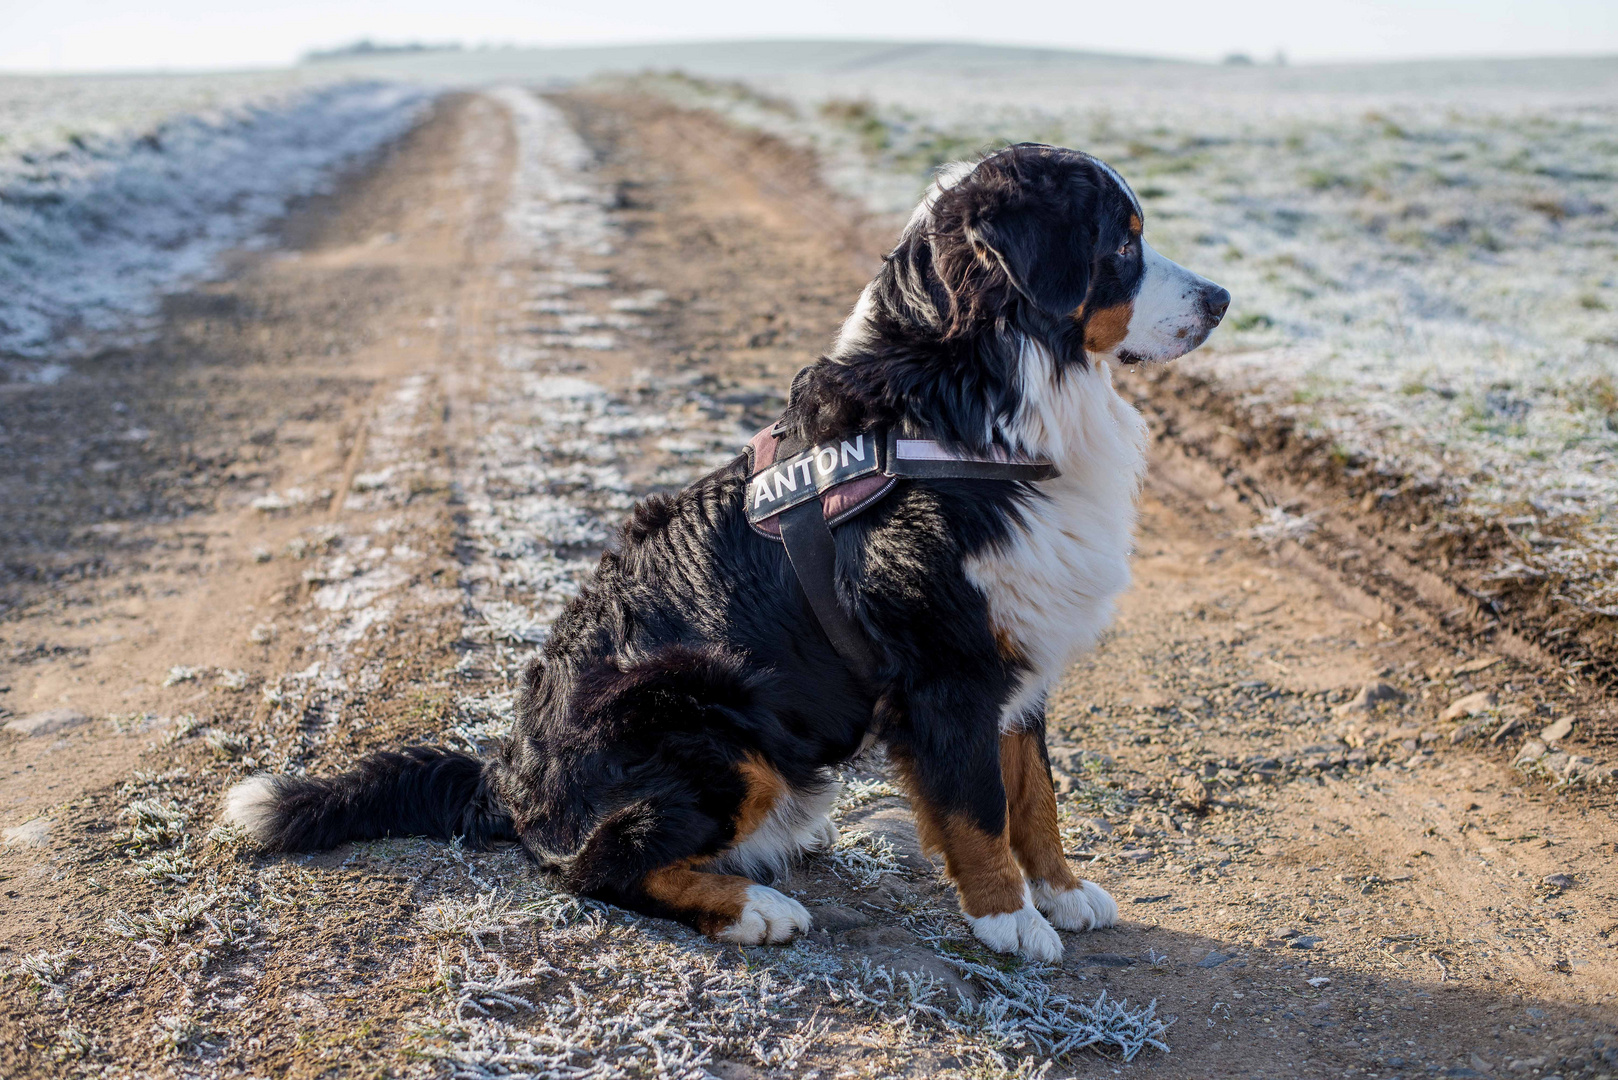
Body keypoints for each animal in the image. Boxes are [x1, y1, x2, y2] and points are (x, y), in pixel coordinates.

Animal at [224, 143, 1223, 965]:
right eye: (1122, 245)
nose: (1220, 301)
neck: (966, 400)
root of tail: (510, 774)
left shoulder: (1018, 649)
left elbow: (1033, 792)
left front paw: (1061, 892)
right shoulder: (949, 667)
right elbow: (977, 809)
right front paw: (1007, 919)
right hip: (705, 716)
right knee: (600, 865)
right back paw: (754, 907)